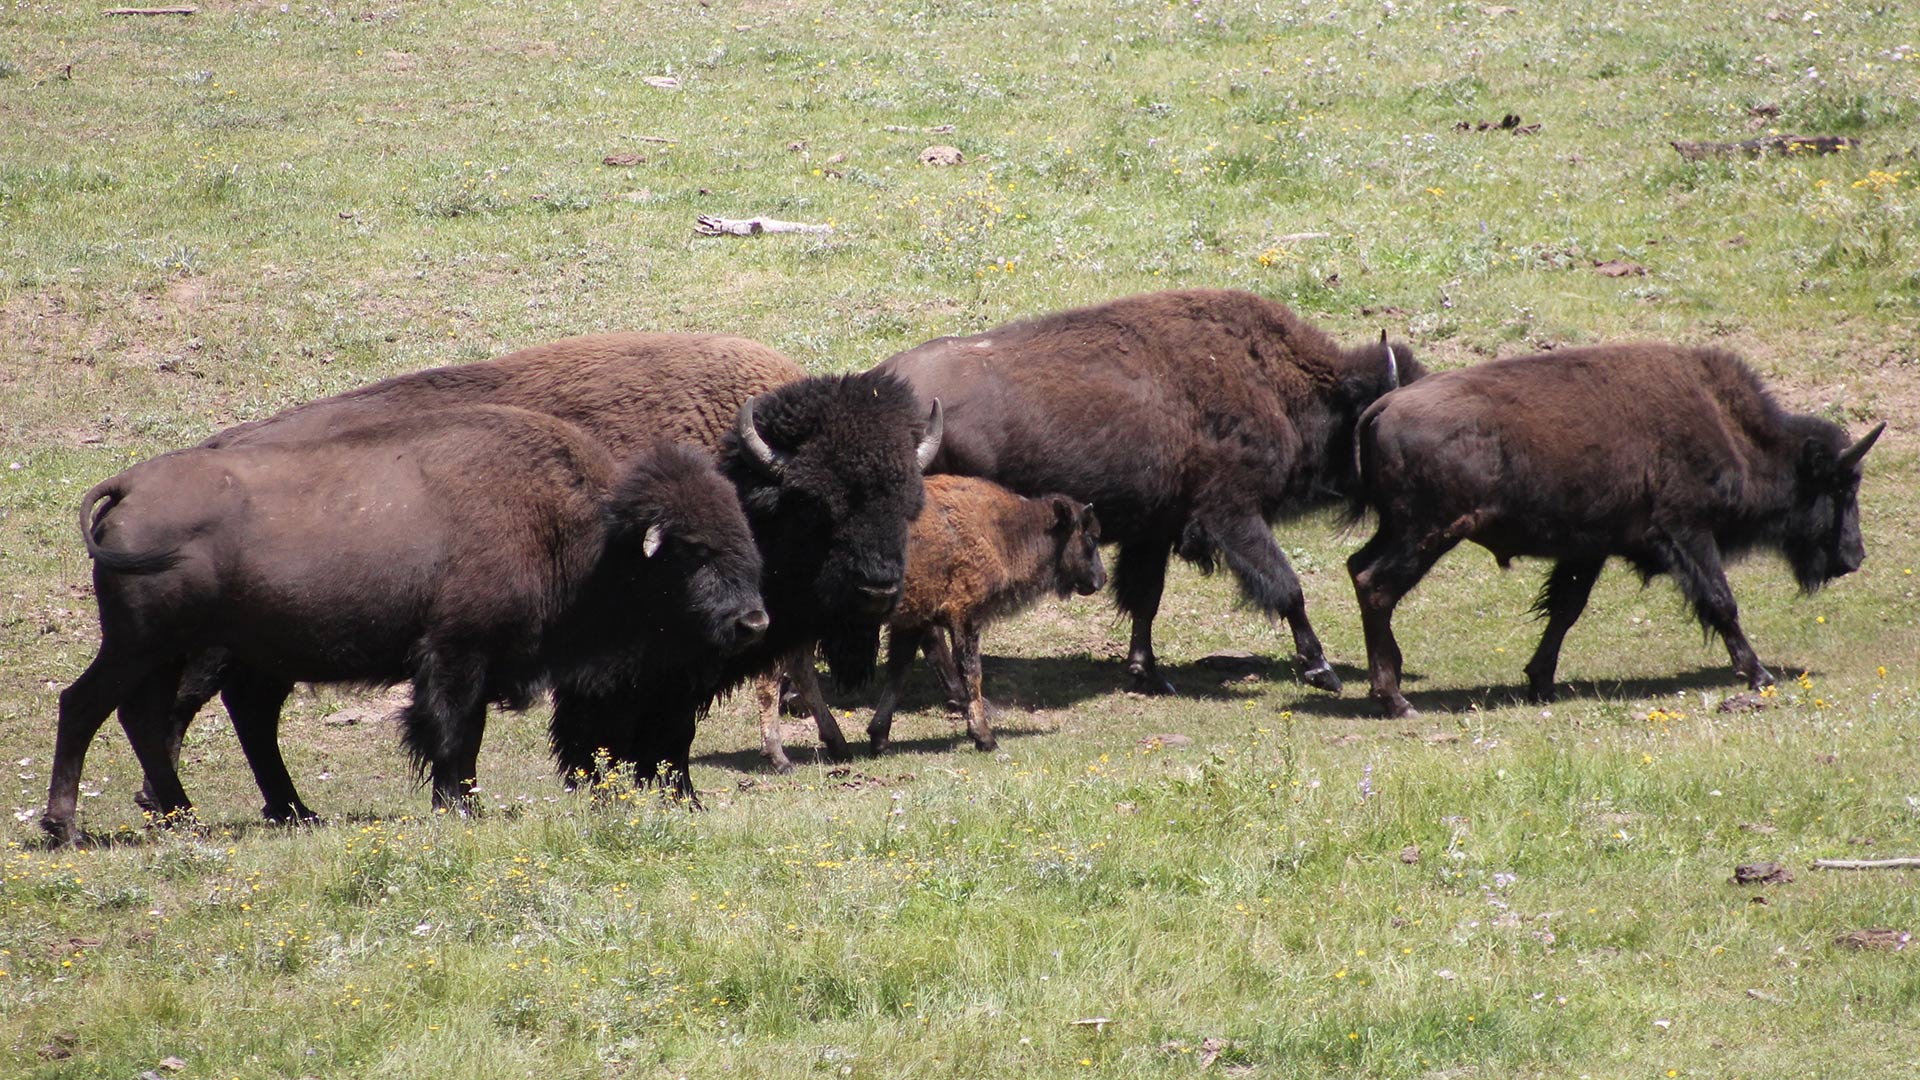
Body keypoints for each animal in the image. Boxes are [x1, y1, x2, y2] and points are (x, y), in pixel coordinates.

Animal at [45, 403, 764, 841]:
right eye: (690, 551)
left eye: (741, 531)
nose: (754, 622)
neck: (585, 533)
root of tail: (129, 486)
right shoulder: (456, 654)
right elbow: (454, 733)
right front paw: (460, 806)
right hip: (142, 644)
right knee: (89, 704)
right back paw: (70, 828)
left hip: (213, 652)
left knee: (187, 716)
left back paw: (251, 814)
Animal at [127, 332, 936, 810]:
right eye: (817, 502)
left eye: (908, 499)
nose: (878, 587)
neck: (739, 471)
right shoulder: (628, 666)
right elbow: (616, 734)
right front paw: (623, 792)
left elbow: (664, 738)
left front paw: (666, 796)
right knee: (188, 703)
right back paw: (171, 803)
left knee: (243, 708)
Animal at [752, 470, 1105, 764]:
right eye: (1090, 537)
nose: (1099, 579)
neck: (1002, 528)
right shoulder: (965, 616)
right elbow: (971, 673)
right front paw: (985, 738)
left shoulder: (913, 623)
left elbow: (899, 673)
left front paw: (879, 740)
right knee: (771, 677)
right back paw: (780, 758)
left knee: (799, 671)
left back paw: (838, 746)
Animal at [879, 286, 1420, 687]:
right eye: (1375, 417)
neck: (1271, 380)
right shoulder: (1233, 515)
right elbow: (1287, 587)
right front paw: (1321, 669)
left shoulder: (1156, 530)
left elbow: (1146, 597)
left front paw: (1147, 672)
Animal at [1351, 342, 1889, 714]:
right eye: (1839, 487)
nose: (1854, 556)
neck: (1729, 429)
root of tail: (1384, 406)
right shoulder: (1687, 533)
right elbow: (1721, 601)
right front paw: (1759, 674)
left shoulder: (1587, 550)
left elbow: (1565, 610)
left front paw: (1540, 682)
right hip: (1431, 533)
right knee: (1375, 585)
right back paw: (1396, 700)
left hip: (1401, 531)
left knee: (1359, 570)